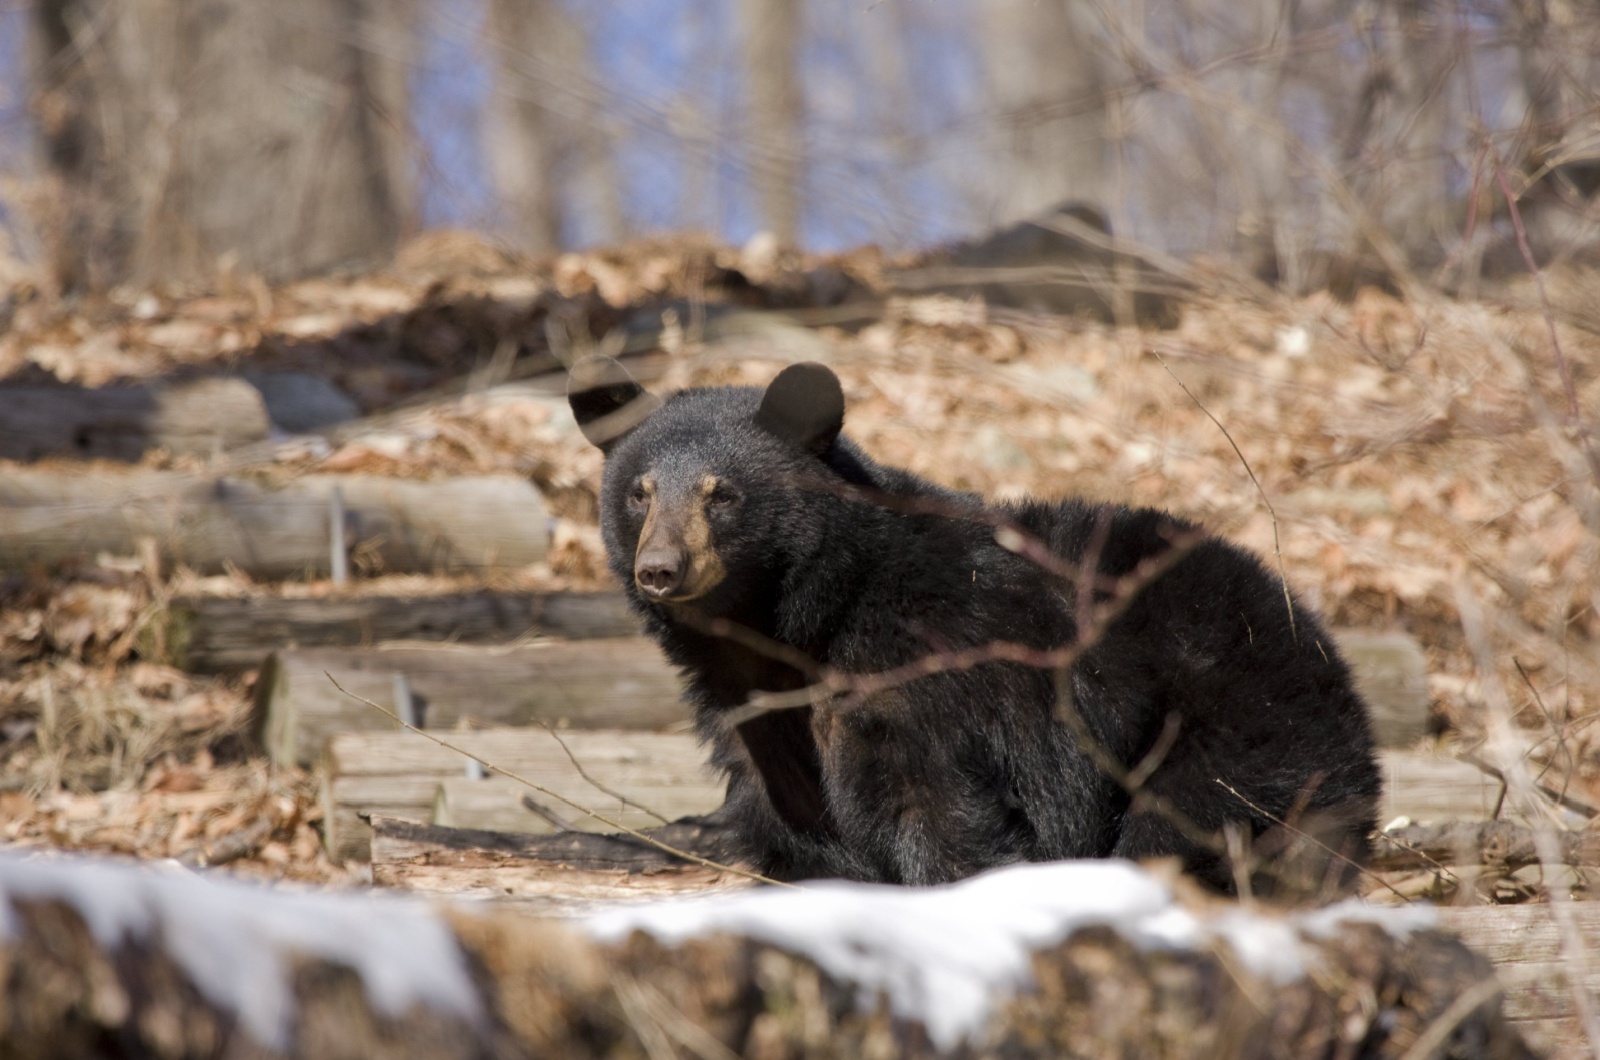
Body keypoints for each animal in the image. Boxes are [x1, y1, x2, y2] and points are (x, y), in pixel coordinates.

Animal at [569, 358, 1382, 896]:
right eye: (640, 491)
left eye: (723, 495)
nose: (660, 569)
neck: (796, 629)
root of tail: (1319, 644)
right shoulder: (758, 720)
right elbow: (794, 819)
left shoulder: (928, 672)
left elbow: (938, 805)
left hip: (1229, 717)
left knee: (1201, 818)